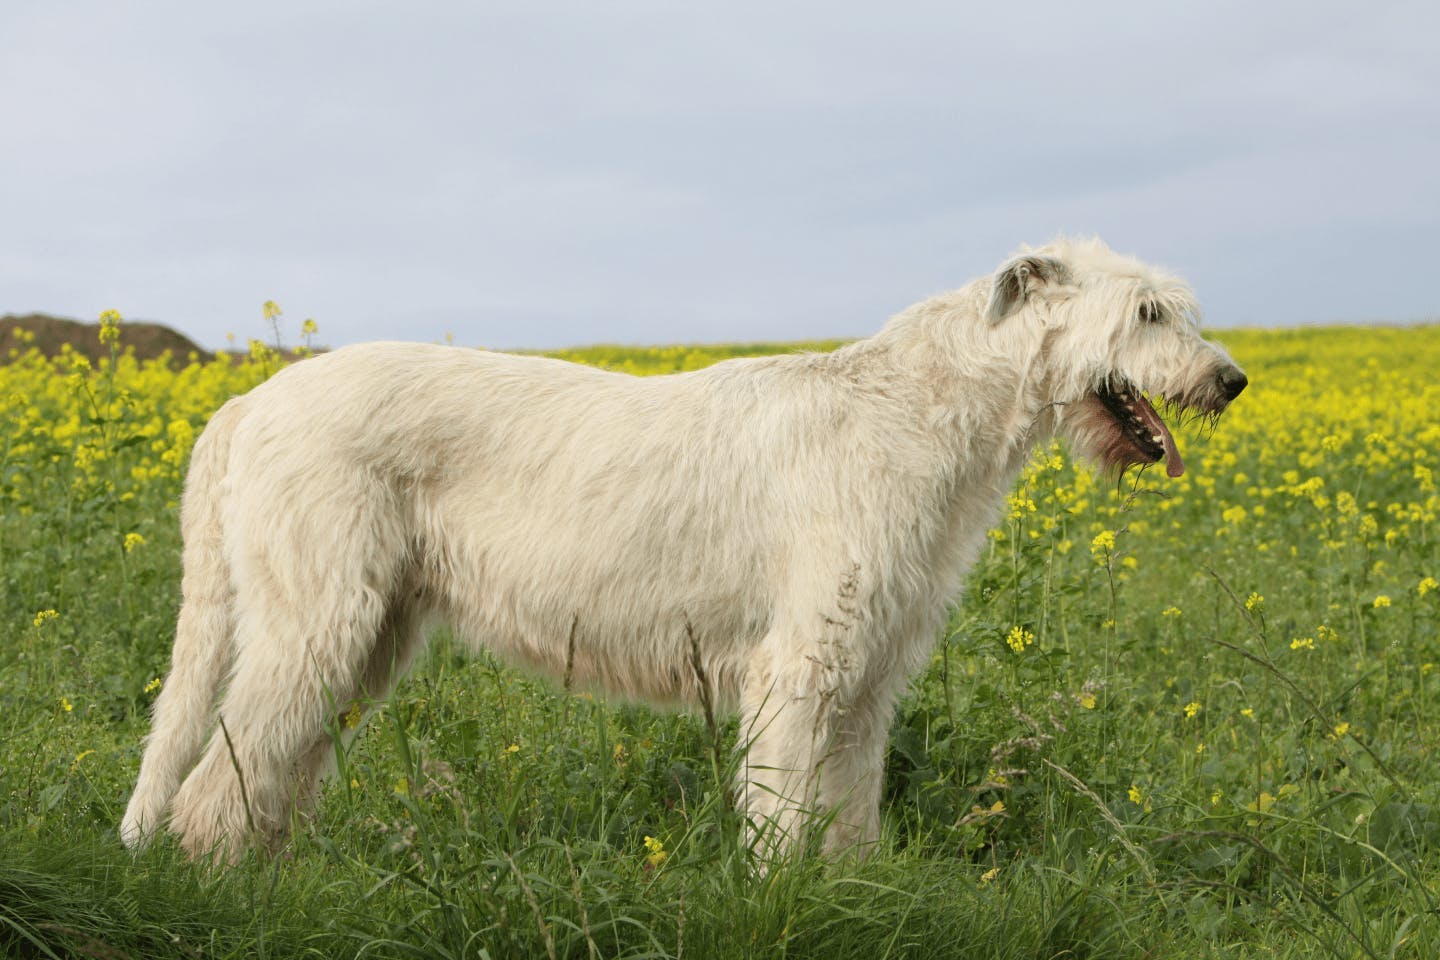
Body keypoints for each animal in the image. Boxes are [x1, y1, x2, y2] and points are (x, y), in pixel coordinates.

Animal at [123, 240, 1244, 863]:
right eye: (1147, 312)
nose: (1230, 380)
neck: (915, 411)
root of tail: (250, 401)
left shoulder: (870, 671)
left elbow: (848, 814)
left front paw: (853, 889)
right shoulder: (800, 663)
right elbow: (782, 819)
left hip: (370, 631)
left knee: (269, 769)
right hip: (319, 617)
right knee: (214, 788)